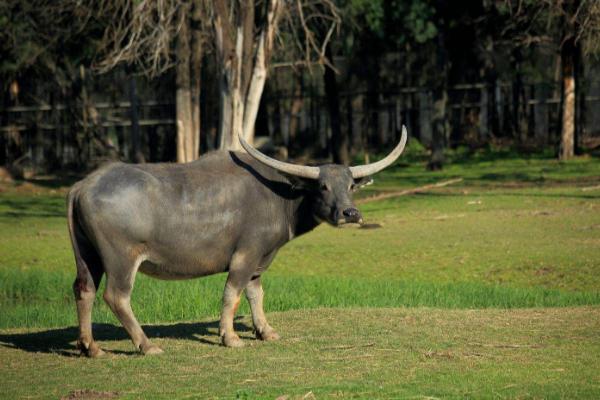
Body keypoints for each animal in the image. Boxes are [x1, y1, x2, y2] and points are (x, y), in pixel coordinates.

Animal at [69, 126, 408, 354]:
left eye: (350, 185)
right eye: (322, 186)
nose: (350, 213)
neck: (279, 197)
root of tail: (83, 186)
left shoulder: (260, 261)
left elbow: (256, 294)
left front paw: (265, 331)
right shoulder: (245, 255)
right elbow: (232, 294)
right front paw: (230, 337)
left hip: (88, 257)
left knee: (84, 290)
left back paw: (91, 347)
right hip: (121, 260)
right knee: (116, 296)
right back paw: (146, 345)